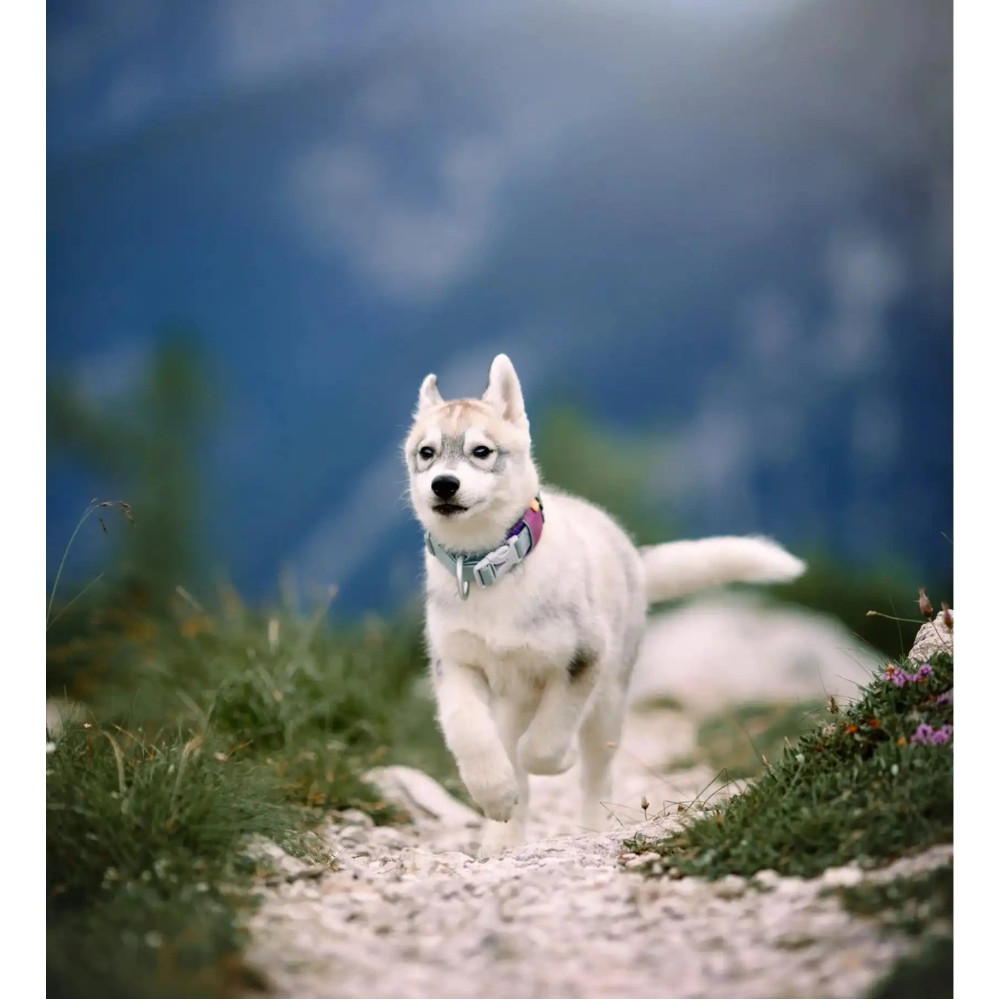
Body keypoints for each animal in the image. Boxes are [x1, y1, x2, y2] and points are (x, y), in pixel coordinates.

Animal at [404, 353, 805, 855]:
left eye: (481, 451)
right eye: (426, 453)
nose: (443, 484)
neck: (490, 568)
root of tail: (633, 554)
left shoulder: (583, 658)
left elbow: (546, 741)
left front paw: (554, 761)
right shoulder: (456, 664)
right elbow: (469, 732)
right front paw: (494, 794)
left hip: (609, 699)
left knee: (596, 771)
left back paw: (592, 826)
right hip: (515, 699)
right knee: (513, 752)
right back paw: (503, 837)